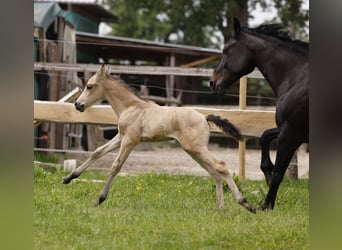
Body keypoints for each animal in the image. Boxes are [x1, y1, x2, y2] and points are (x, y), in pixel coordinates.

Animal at [210, 18, 308, 209]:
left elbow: (278, 173)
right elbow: (264, 136)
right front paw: (267, 172)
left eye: (226, 50)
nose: (212, 82)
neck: (297, 78)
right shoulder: (290, 130)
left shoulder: (291, 133)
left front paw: (267, 205)